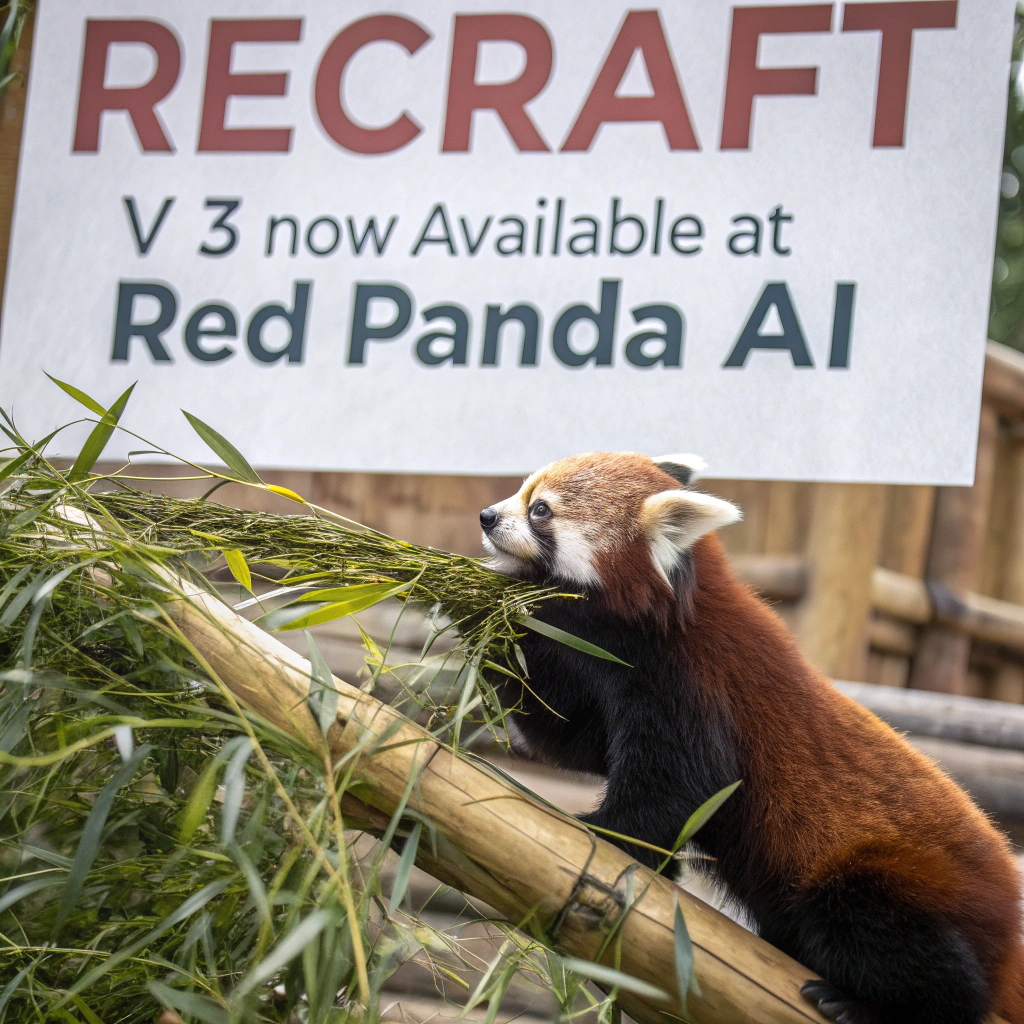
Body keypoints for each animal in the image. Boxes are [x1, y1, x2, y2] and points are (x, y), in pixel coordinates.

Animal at [478, 451, 1024, 1024]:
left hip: (896, 881)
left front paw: (604, 830)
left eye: (540, 509)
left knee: (882, 935)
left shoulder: (691, 683)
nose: (487, 518)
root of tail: (1007, 928)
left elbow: (680, 787)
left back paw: (867, 1004)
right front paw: (480, 617)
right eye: (522, 491)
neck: (664, 618)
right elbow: (569, 737)